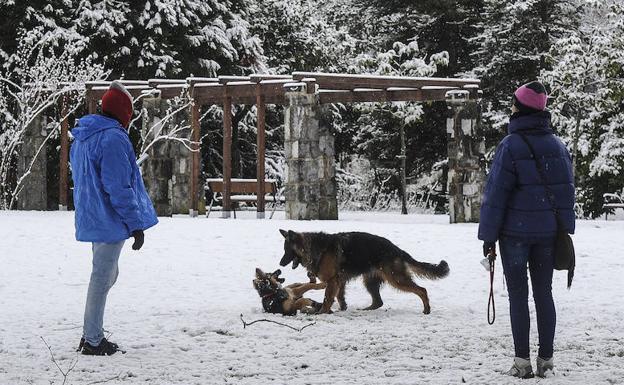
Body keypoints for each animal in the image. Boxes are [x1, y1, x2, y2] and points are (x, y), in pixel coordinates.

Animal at [278, 230, 448, 314]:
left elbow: (327, 298)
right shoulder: (339, 281)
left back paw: (427, 309)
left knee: (422, 290)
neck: (314, 247)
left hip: (397, 279)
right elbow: (339, 297)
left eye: (287, 250)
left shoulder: (333, 280)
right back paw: (366, 309)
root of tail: (396, 249)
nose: (280, 264)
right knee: (378, 302)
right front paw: (342, 308)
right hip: (370, 281)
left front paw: (322, 312)